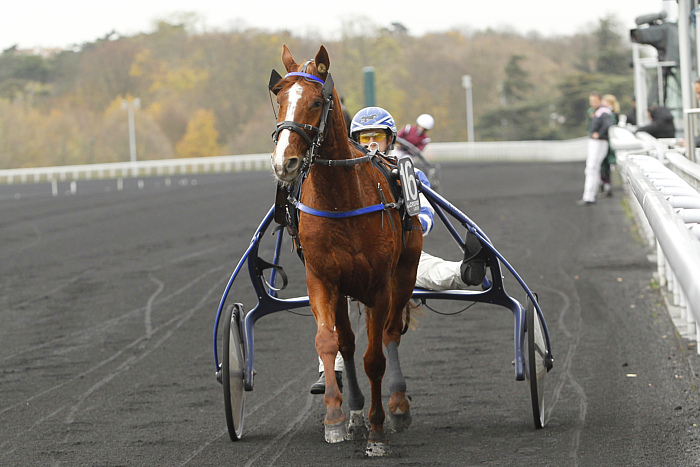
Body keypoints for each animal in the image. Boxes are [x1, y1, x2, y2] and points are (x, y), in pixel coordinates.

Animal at [268, 44, 422, 458]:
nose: (284, 162)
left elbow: (375, 358)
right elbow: (329, 341)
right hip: (343, 289)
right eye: (279, 98)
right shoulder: (323, 278)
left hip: (405, 272)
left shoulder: (378, 286)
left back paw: (397, 406)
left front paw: (377, 431)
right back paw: (353, 412)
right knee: (348, 344)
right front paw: (337, 418)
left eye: (316, 101)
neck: (342, 199)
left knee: (391, 333)